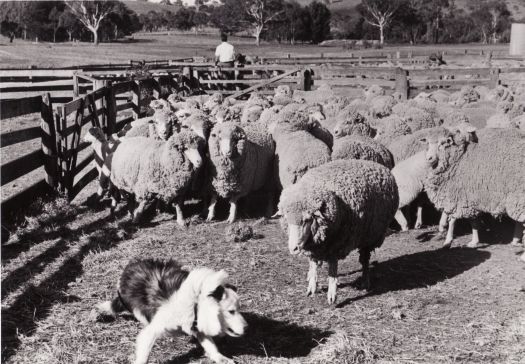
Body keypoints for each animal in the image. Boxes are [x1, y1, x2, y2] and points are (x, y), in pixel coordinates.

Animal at [97, 258, 247, 364]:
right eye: (231, 311)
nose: (247, 327)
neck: (195, 303)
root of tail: (131, 266)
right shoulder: (153, 330)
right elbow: (144, 355)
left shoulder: (196, 325)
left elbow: (210, 345)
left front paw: (221, 358)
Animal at [278, 159, 398, 304]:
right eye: (287, 220)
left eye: (307, 220)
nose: (293, 248)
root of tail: (376, 164)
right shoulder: (315, 247)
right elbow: (313, 264)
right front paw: (312, 286)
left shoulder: (336, 245)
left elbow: (332, 270)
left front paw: (332, 294)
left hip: (370, 236)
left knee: (365, 259)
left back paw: (365, 280)